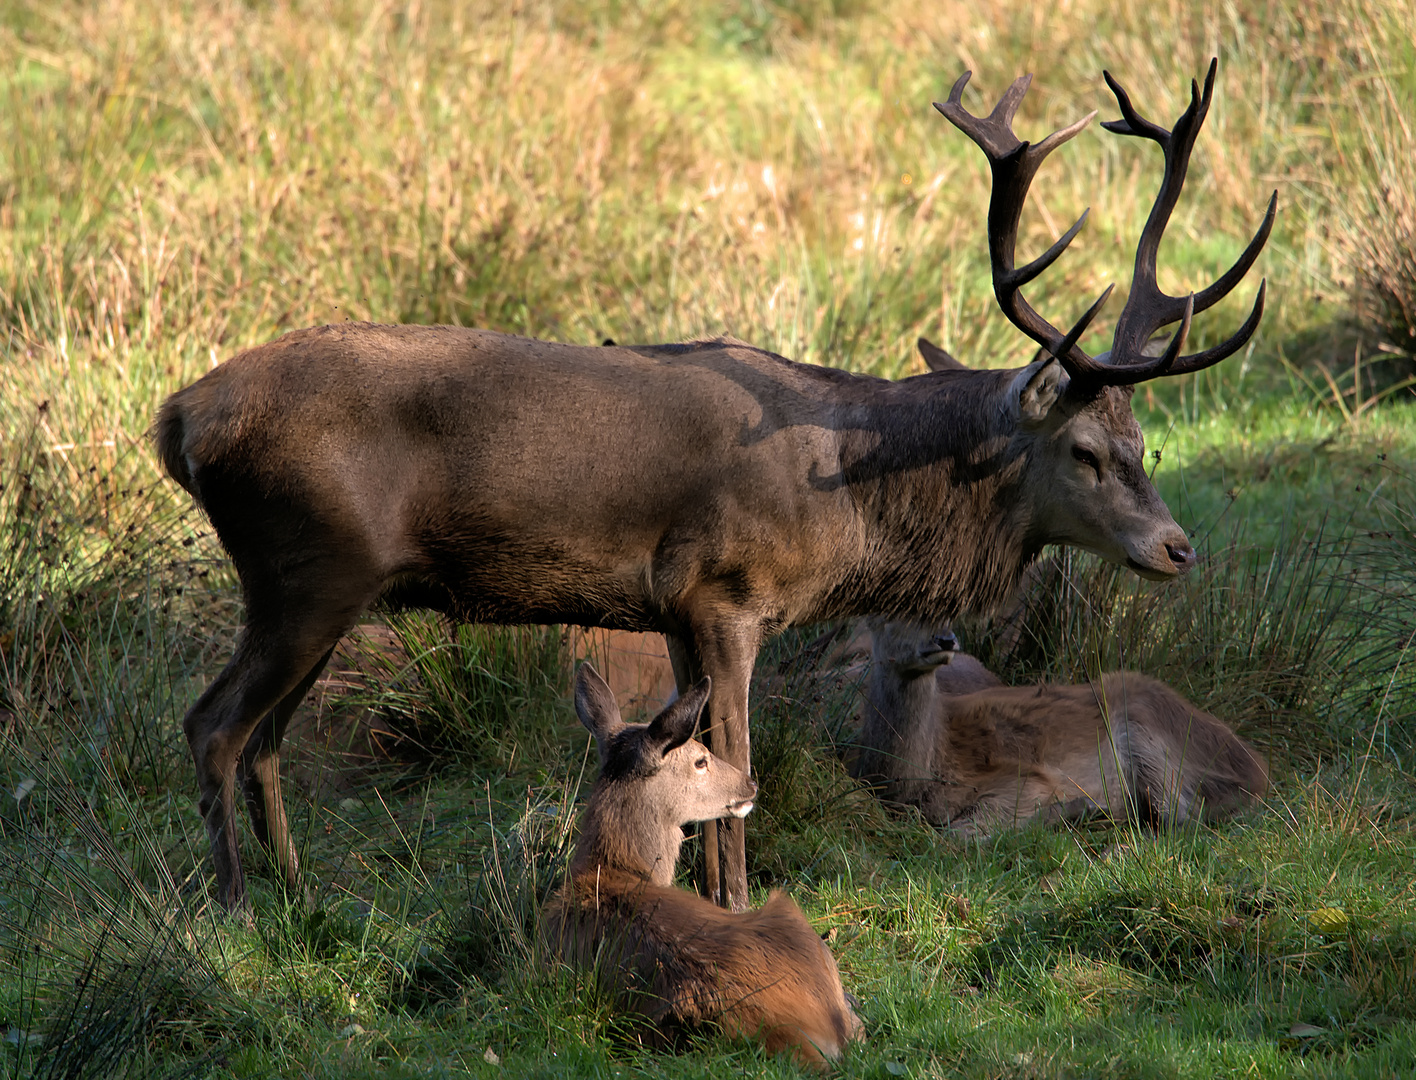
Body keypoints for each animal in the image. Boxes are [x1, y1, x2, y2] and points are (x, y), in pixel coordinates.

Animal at [849, 619, 1274, 832]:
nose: (946, 638)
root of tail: (1258, 768)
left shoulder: (1022, 779)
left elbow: (954, 836)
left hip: (1146, 732)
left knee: (1178, 816)